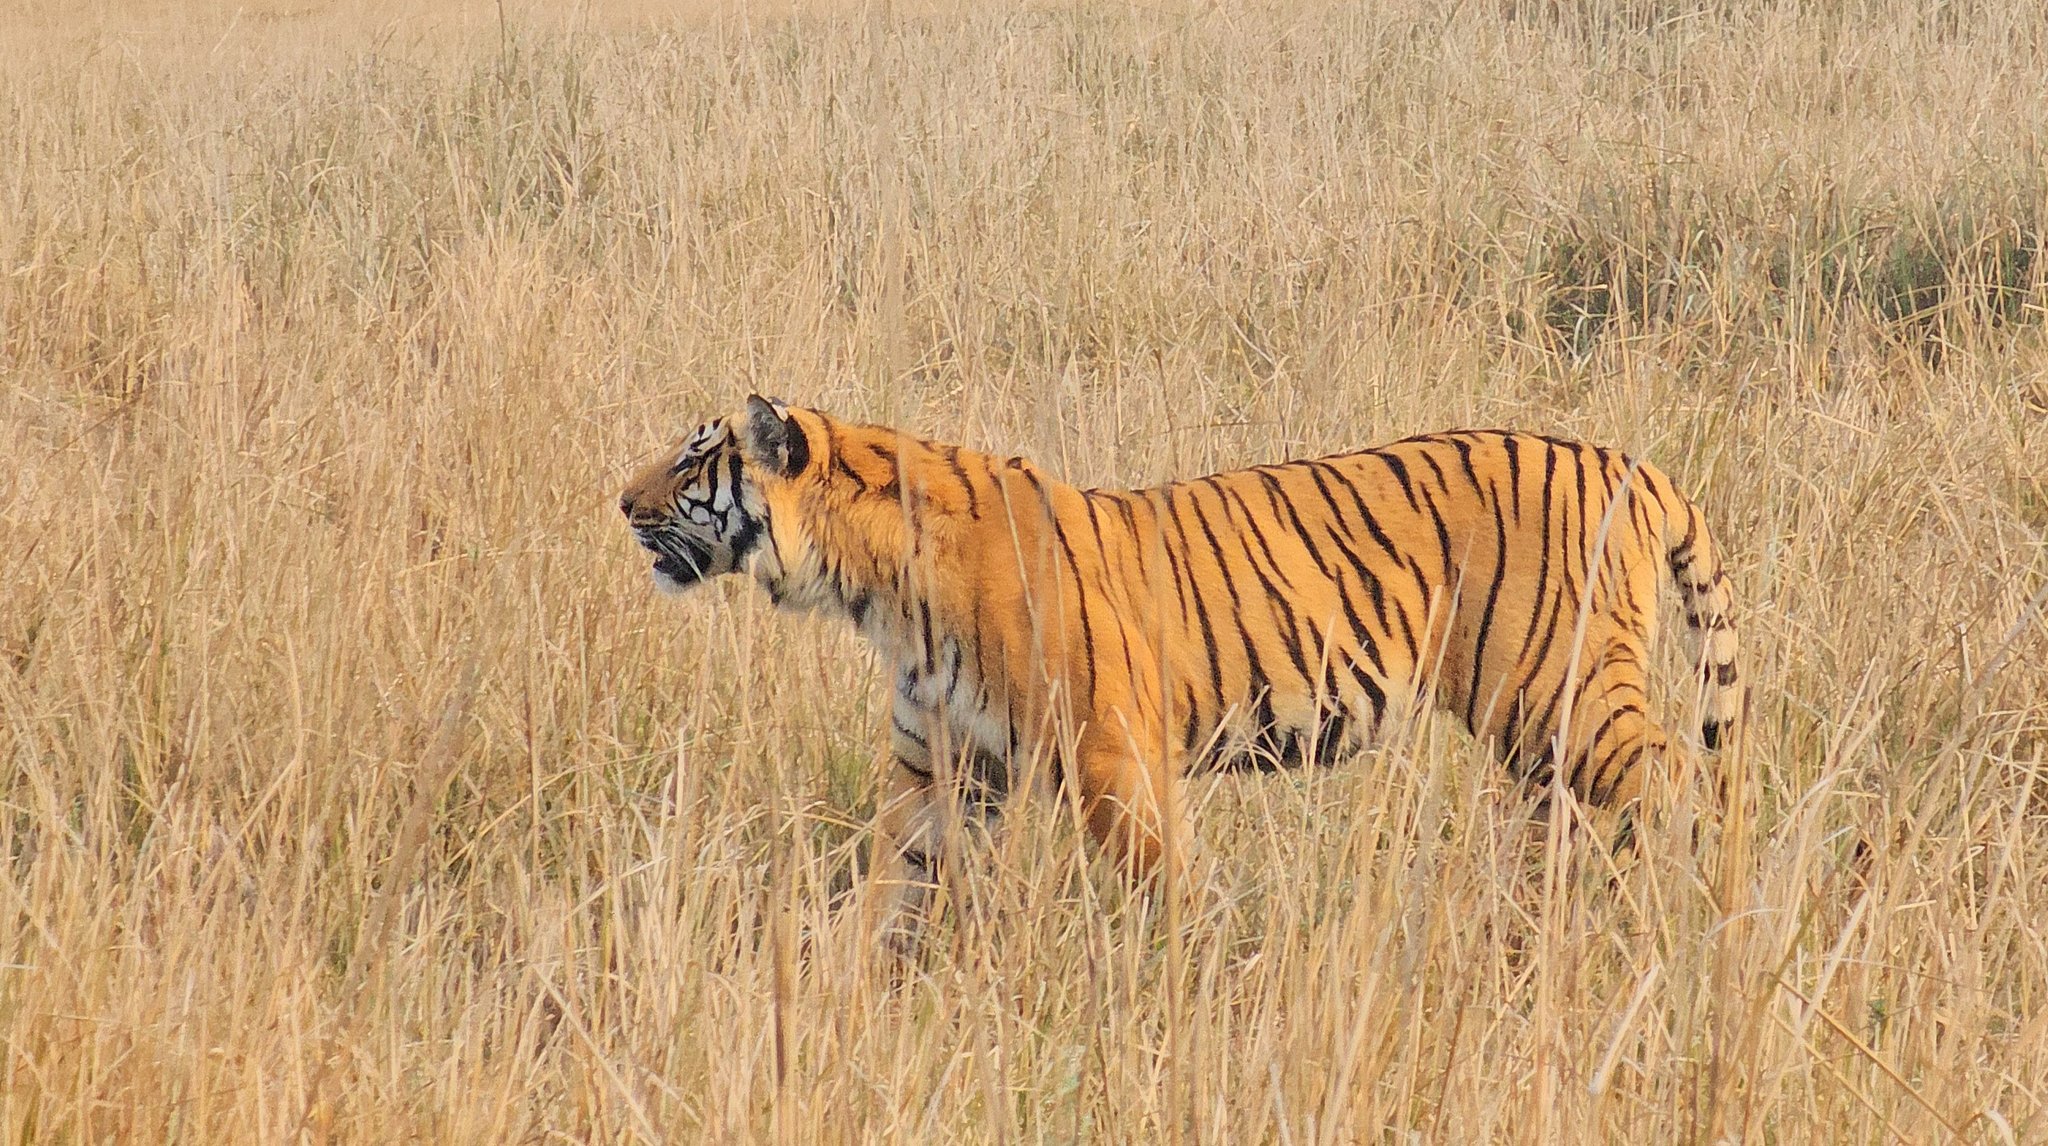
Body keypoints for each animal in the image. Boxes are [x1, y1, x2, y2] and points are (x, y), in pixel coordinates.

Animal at [618, 399, 1744, 953]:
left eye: (693, 461)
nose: (618, 501)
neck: (874, 591)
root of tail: (1631, 463)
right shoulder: (938, 770)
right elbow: (892, 886)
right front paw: (852, 989)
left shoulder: (1111, 754)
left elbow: (1161, 885)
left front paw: (1187, 981)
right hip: (1545, 735)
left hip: (1562, 696)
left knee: (1685, 787)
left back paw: (1702, 915)